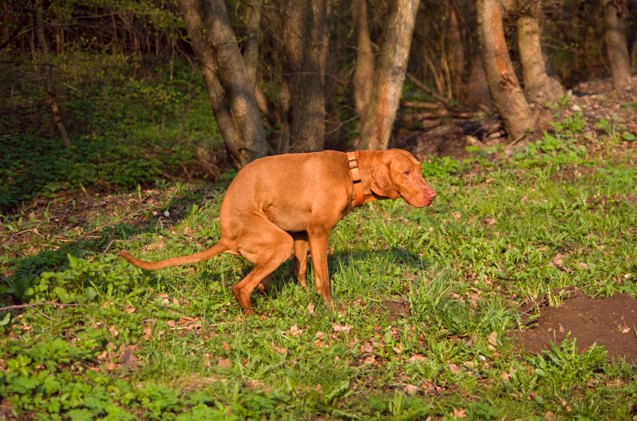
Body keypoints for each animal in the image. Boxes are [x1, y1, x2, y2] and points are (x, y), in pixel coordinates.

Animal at [120, 149, 434, 314]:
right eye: (406, 173)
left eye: (419, 169)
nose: (432, 196)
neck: (350, 171)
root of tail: (225, 236)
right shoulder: (318, 232)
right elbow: (323, 278)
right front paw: (329, 308)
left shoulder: (301, 235)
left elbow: (302, 271)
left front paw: (303, 294)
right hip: (278, 242)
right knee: (242, 287)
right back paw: (252, 317)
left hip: (279, 243)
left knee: (258, 280)